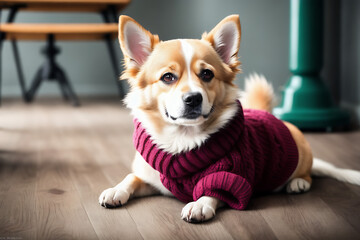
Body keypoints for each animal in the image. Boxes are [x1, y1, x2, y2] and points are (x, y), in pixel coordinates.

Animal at [98, 14, 360, 221]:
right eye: (168, 77)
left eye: (206, 74)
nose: (193, 98)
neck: (183, 138)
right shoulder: (151, 178)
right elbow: (131, 177)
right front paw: (116, 190)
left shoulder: (232, 179)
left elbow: (212, 190)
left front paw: (199, 204)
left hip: (301, 154)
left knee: (307, 174)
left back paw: (298, 183)